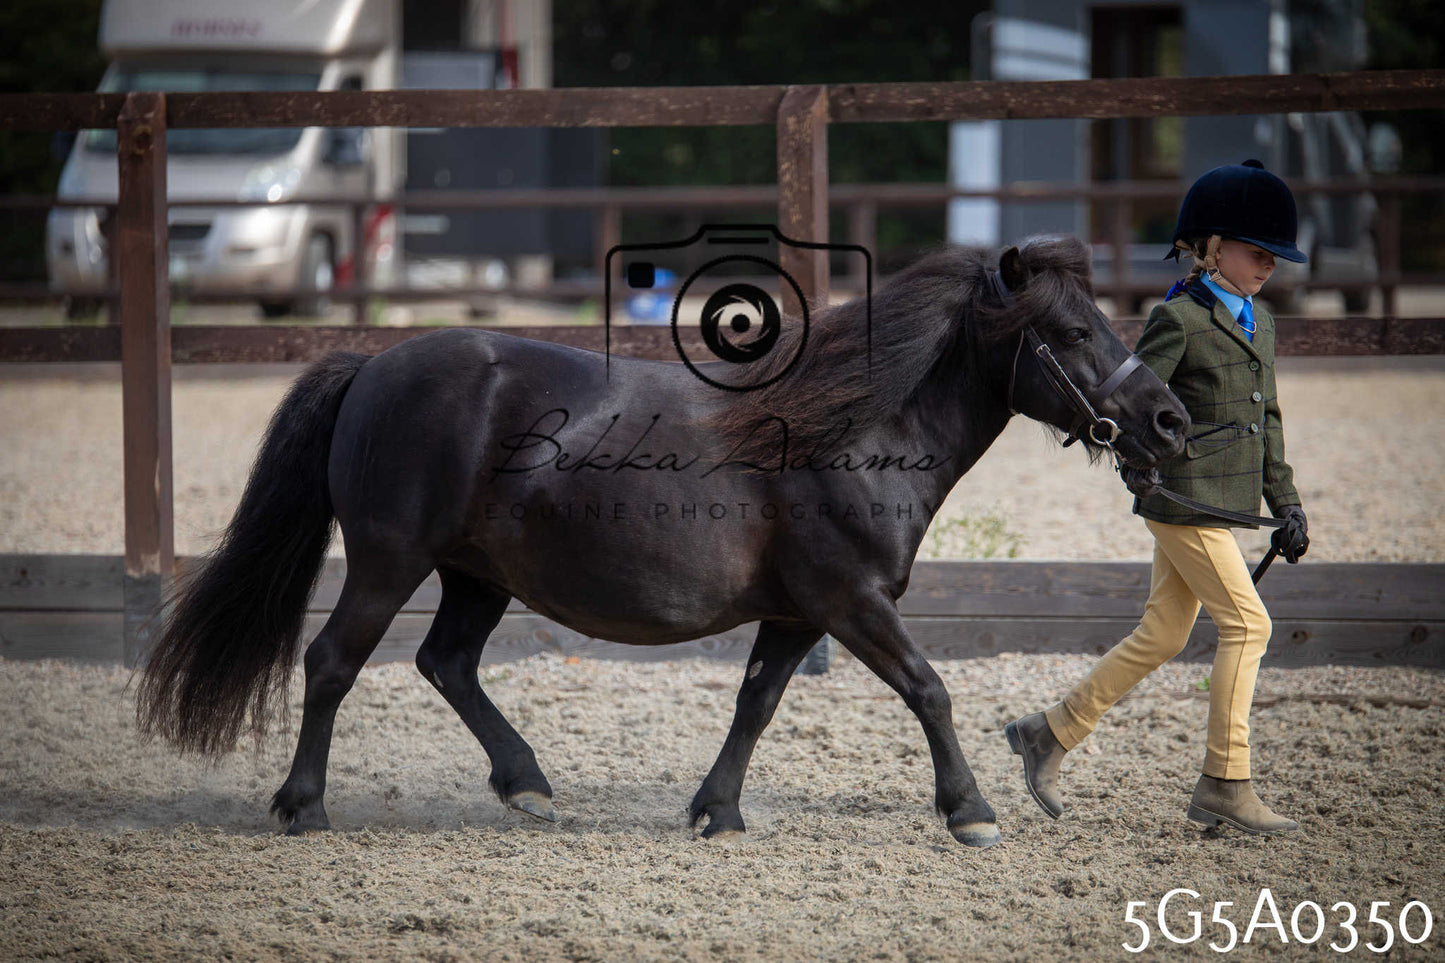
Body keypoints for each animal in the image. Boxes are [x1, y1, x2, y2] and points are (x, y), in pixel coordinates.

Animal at [137, 235, 1189, 849]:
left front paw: (715, 810)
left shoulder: (798, 614)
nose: (1169, 420)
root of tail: (373, 365)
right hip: (389, 561)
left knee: (446, 663)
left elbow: (756, 703)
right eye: (1070, 330)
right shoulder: (851, 600)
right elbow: (928, 688)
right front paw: (970, 810)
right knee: (331, 661)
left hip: (477, 575)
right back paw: (303, 805)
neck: (854, 431)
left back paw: (526, 785)